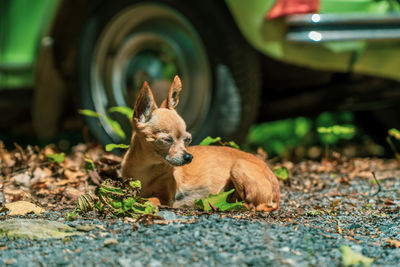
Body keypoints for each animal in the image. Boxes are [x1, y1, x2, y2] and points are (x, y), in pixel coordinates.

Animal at [120, 76, 280, 213]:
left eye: (187, 140)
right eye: (167, 140)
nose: (189, 157)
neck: (146, 169)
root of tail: (277, 191)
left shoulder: (165, 198)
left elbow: (148, 199)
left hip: (238, 166)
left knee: (253, 205)